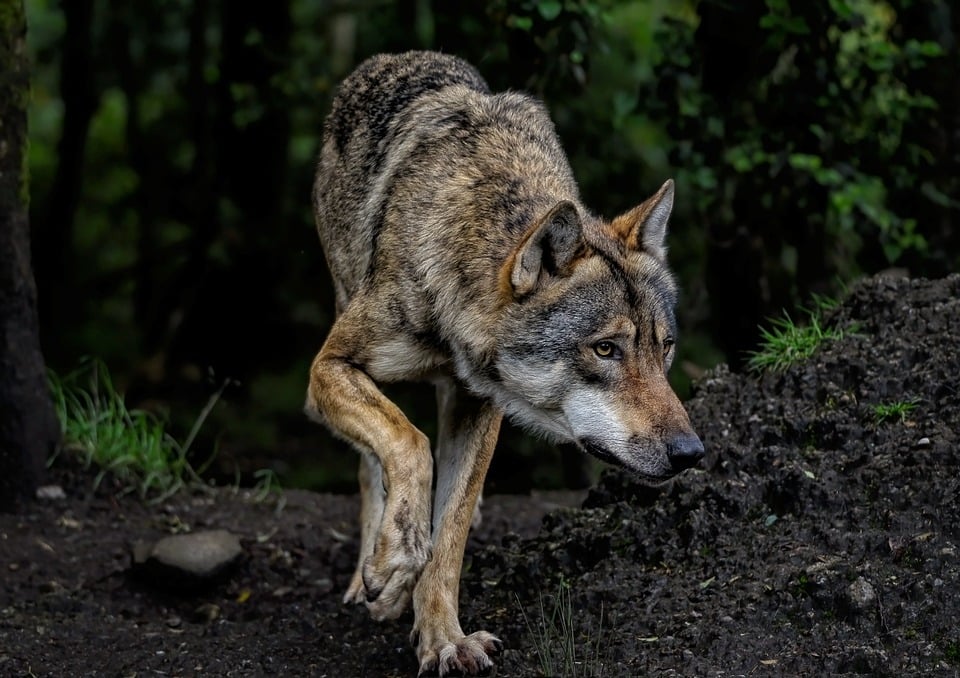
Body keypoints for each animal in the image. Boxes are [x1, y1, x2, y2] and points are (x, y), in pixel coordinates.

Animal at [308, 50, 704, 676]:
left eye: (662, 348)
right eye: (605, 349)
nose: (691, 453)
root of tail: (391, 59)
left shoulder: (480, 405)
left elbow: (450, 534)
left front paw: (443, 639)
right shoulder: (329, 366)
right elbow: (408, 444)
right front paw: (394, 563)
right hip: (343, 307)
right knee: (373, 462)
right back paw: (373, 571)